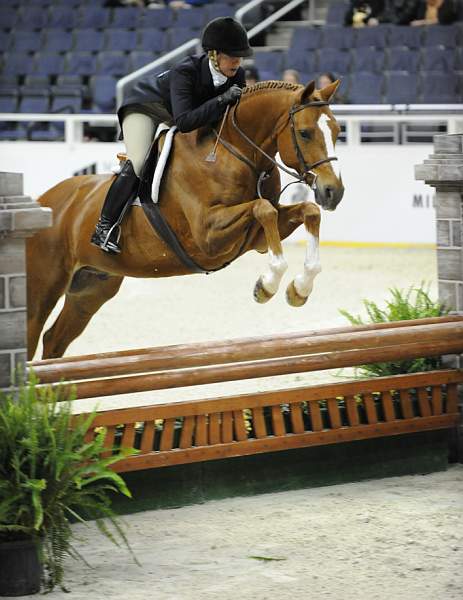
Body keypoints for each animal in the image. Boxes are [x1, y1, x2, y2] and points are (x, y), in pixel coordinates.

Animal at [25, 79, 344, 360]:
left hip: (91, 288)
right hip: (42, 289)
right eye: (304, 133)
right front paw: (266, 285)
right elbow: (263, 208)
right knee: (31, 337)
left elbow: (305, 211)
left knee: (54, 340)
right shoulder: (208, 236)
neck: (234, 152)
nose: (334, 192)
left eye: (337, 131)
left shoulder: (255, 238)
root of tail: (43, 202)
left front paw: (299, 288)